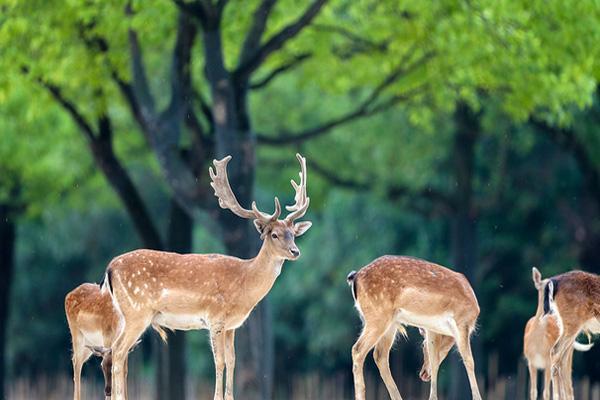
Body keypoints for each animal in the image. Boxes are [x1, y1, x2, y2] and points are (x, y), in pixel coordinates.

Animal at [103, 152, 312, 400]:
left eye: (293, 234)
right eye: (274, 234)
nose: (295, 251)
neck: (244, 283)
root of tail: (110, 268)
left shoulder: (232, 326)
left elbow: (232, 361)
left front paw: (229, 397)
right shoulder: (215, 317)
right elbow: (219, 362)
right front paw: (217, 397)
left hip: (126, 314)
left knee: (116, 352)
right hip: (137, 312)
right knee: (118, 351)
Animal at [346, 256, 482, 400]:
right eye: (422, 346)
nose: (423, 374)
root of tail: (355, 276)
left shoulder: (432, 328)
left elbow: (434, 361)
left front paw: (432, 397)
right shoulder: (462, 322)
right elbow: (469, 360)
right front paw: (477, 397)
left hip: (391, 322)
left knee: (380, 355)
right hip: (377, 315)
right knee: (358, 350)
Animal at [524, 268, 592, 400]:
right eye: (541, 287)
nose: (550, 309)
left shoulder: (547, 360)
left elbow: (546, 392)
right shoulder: (530, 361)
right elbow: (533, 391)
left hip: (568, 355)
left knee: (568, 387)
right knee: (562, 387)